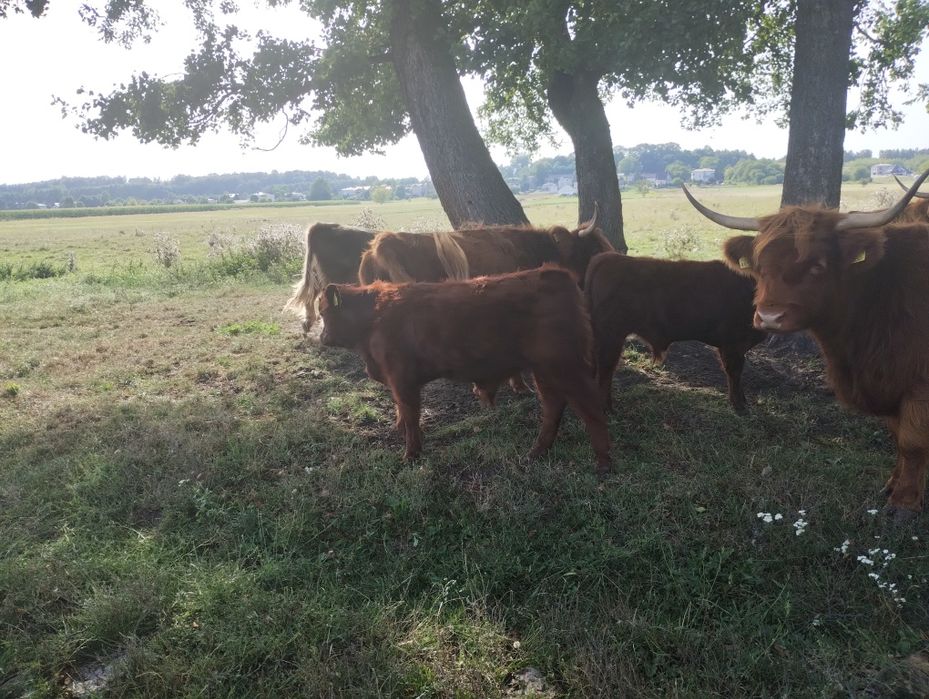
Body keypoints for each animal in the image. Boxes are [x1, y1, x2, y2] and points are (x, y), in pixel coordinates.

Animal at [317, 266, 612, 474]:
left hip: (565, 368)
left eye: (323, 313)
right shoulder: (397, 382)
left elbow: (411, 416)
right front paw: (401, 433)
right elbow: (402, 412)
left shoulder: (402, 379)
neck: (374, 318)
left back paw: (603, 463)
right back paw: (537, 452)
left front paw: (411, 454)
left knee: (591, 409)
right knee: (553, 407)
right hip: (546, 372)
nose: (321, 337)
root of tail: (554, 274)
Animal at [584, 251, 766, 413]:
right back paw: (606, 409)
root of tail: (608, 257)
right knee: (606, 370)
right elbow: (734, 373)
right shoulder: (732, 344)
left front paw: (743, 401)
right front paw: (739, 406)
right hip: (611, 336)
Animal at [683, 168, 929, 521]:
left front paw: (904, 505)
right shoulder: (888, 383)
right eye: (759, 266)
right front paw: (893, 487)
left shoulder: (918, 384)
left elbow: (912, 441)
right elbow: (899, 436)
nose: (769, 317)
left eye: (817, 265)